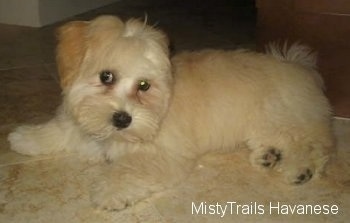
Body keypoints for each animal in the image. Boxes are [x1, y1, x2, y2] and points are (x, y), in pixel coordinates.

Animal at [8, 15, 334, 211]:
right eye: (106, 77)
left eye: (144, 85)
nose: (122, 119)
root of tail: (299, 67)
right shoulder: (81, 123)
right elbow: (60, 128)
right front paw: (25, 138)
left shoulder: (161, 155)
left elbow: (129, 169)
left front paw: (108, 191)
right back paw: (268, 156)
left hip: (277, 117)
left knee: (311, 145)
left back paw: (299, 169)